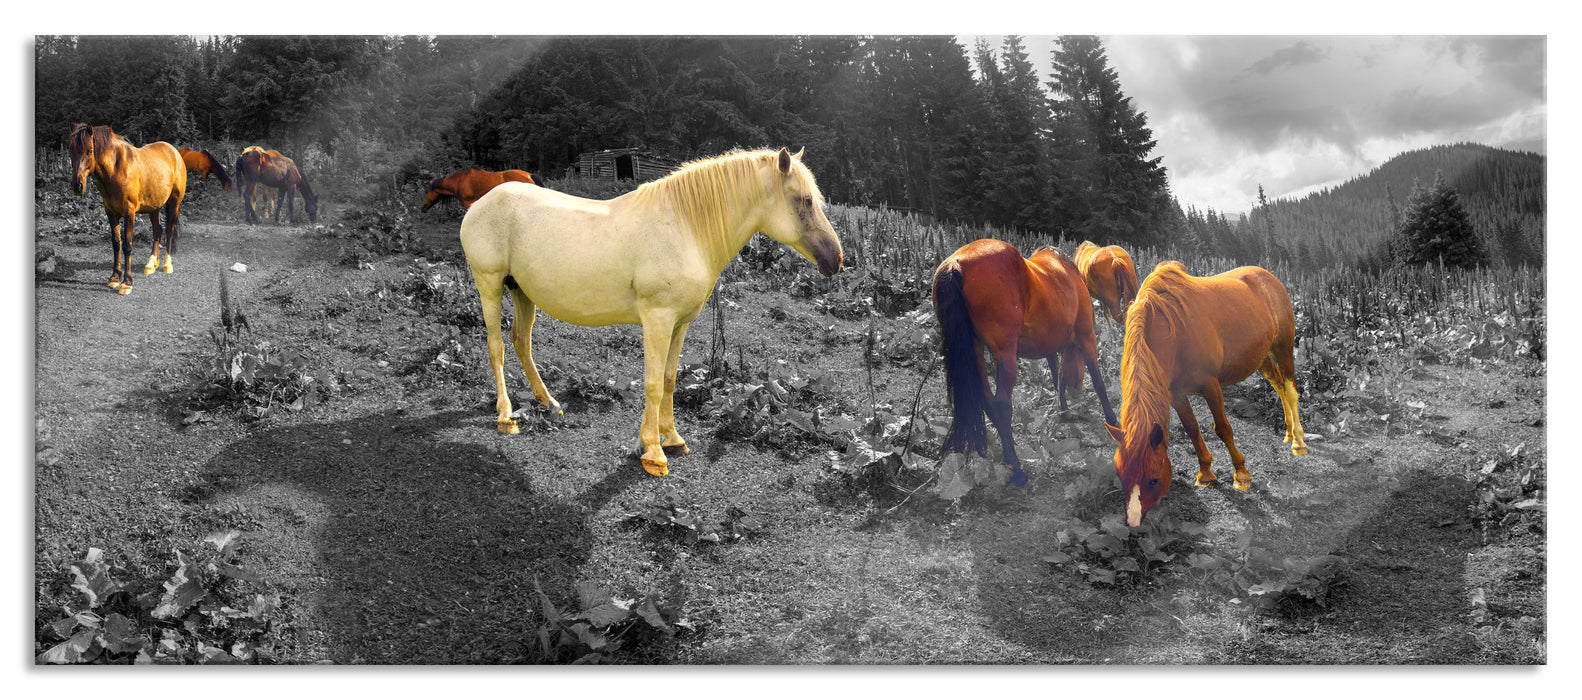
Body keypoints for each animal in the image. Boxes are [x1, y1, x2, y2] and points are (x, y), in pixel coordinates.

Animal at [67, 124, 187, 295]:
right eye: (71, 150)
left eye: (89, 151)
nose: (77, 185)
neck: (116, 168)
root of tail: (174, 152)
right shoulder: (110, 212)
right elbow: (116, 243)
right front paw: (115, 278)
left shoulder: (129, 212)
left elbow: (127, 245)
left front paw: (127, 283)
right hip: (154, 207)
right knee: (158, 230)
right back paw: (151, 264)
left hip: (174, 202)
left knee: (170, 229)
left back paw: (167, 265)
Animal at [459, 147, 842, 477]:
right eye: (805, 200)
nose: (835, 259)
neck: (685, 229)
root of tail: (483, 202)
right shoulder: (657, 319)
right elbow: (654, 383)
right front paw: (653, 452)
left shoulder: (679, 323)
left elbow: (670, 379)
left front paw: (671, 438)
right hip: (489, 284)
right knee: (497, 347)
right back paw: (506, 416)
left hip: (521, 291)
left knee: (521, 341)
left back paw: (549, 403)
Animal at [933, 239, 1118, 486]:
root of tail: (956, 264)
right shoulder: (1087, 335)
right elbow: (1098, 382)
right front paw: (1112, 420)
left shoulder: (1050, 345)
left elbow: (1057, 376)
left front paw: (1063, 411)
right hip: (1005, 355)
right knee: (1001, 405)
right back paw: (1017, 468)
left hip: (975, 348)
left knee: (987, 401)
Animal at [1106, 260, 1309, 527]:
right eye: (1121, 475)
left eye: (1153, 478)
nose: (1132, 522)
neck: (1172, 332)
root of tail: (1268, 277)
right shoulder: (1176, 394)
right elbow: (1192, 429)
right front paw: (1206, 474)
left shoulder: (1211, 386)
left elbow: (1222, 429)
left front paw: (1241, 474)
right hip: (1261, 356)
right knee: (1279, 386)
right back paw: (1288, 432)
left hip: (1283, 345)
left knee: (1291, 390)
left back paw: (1298, 442)